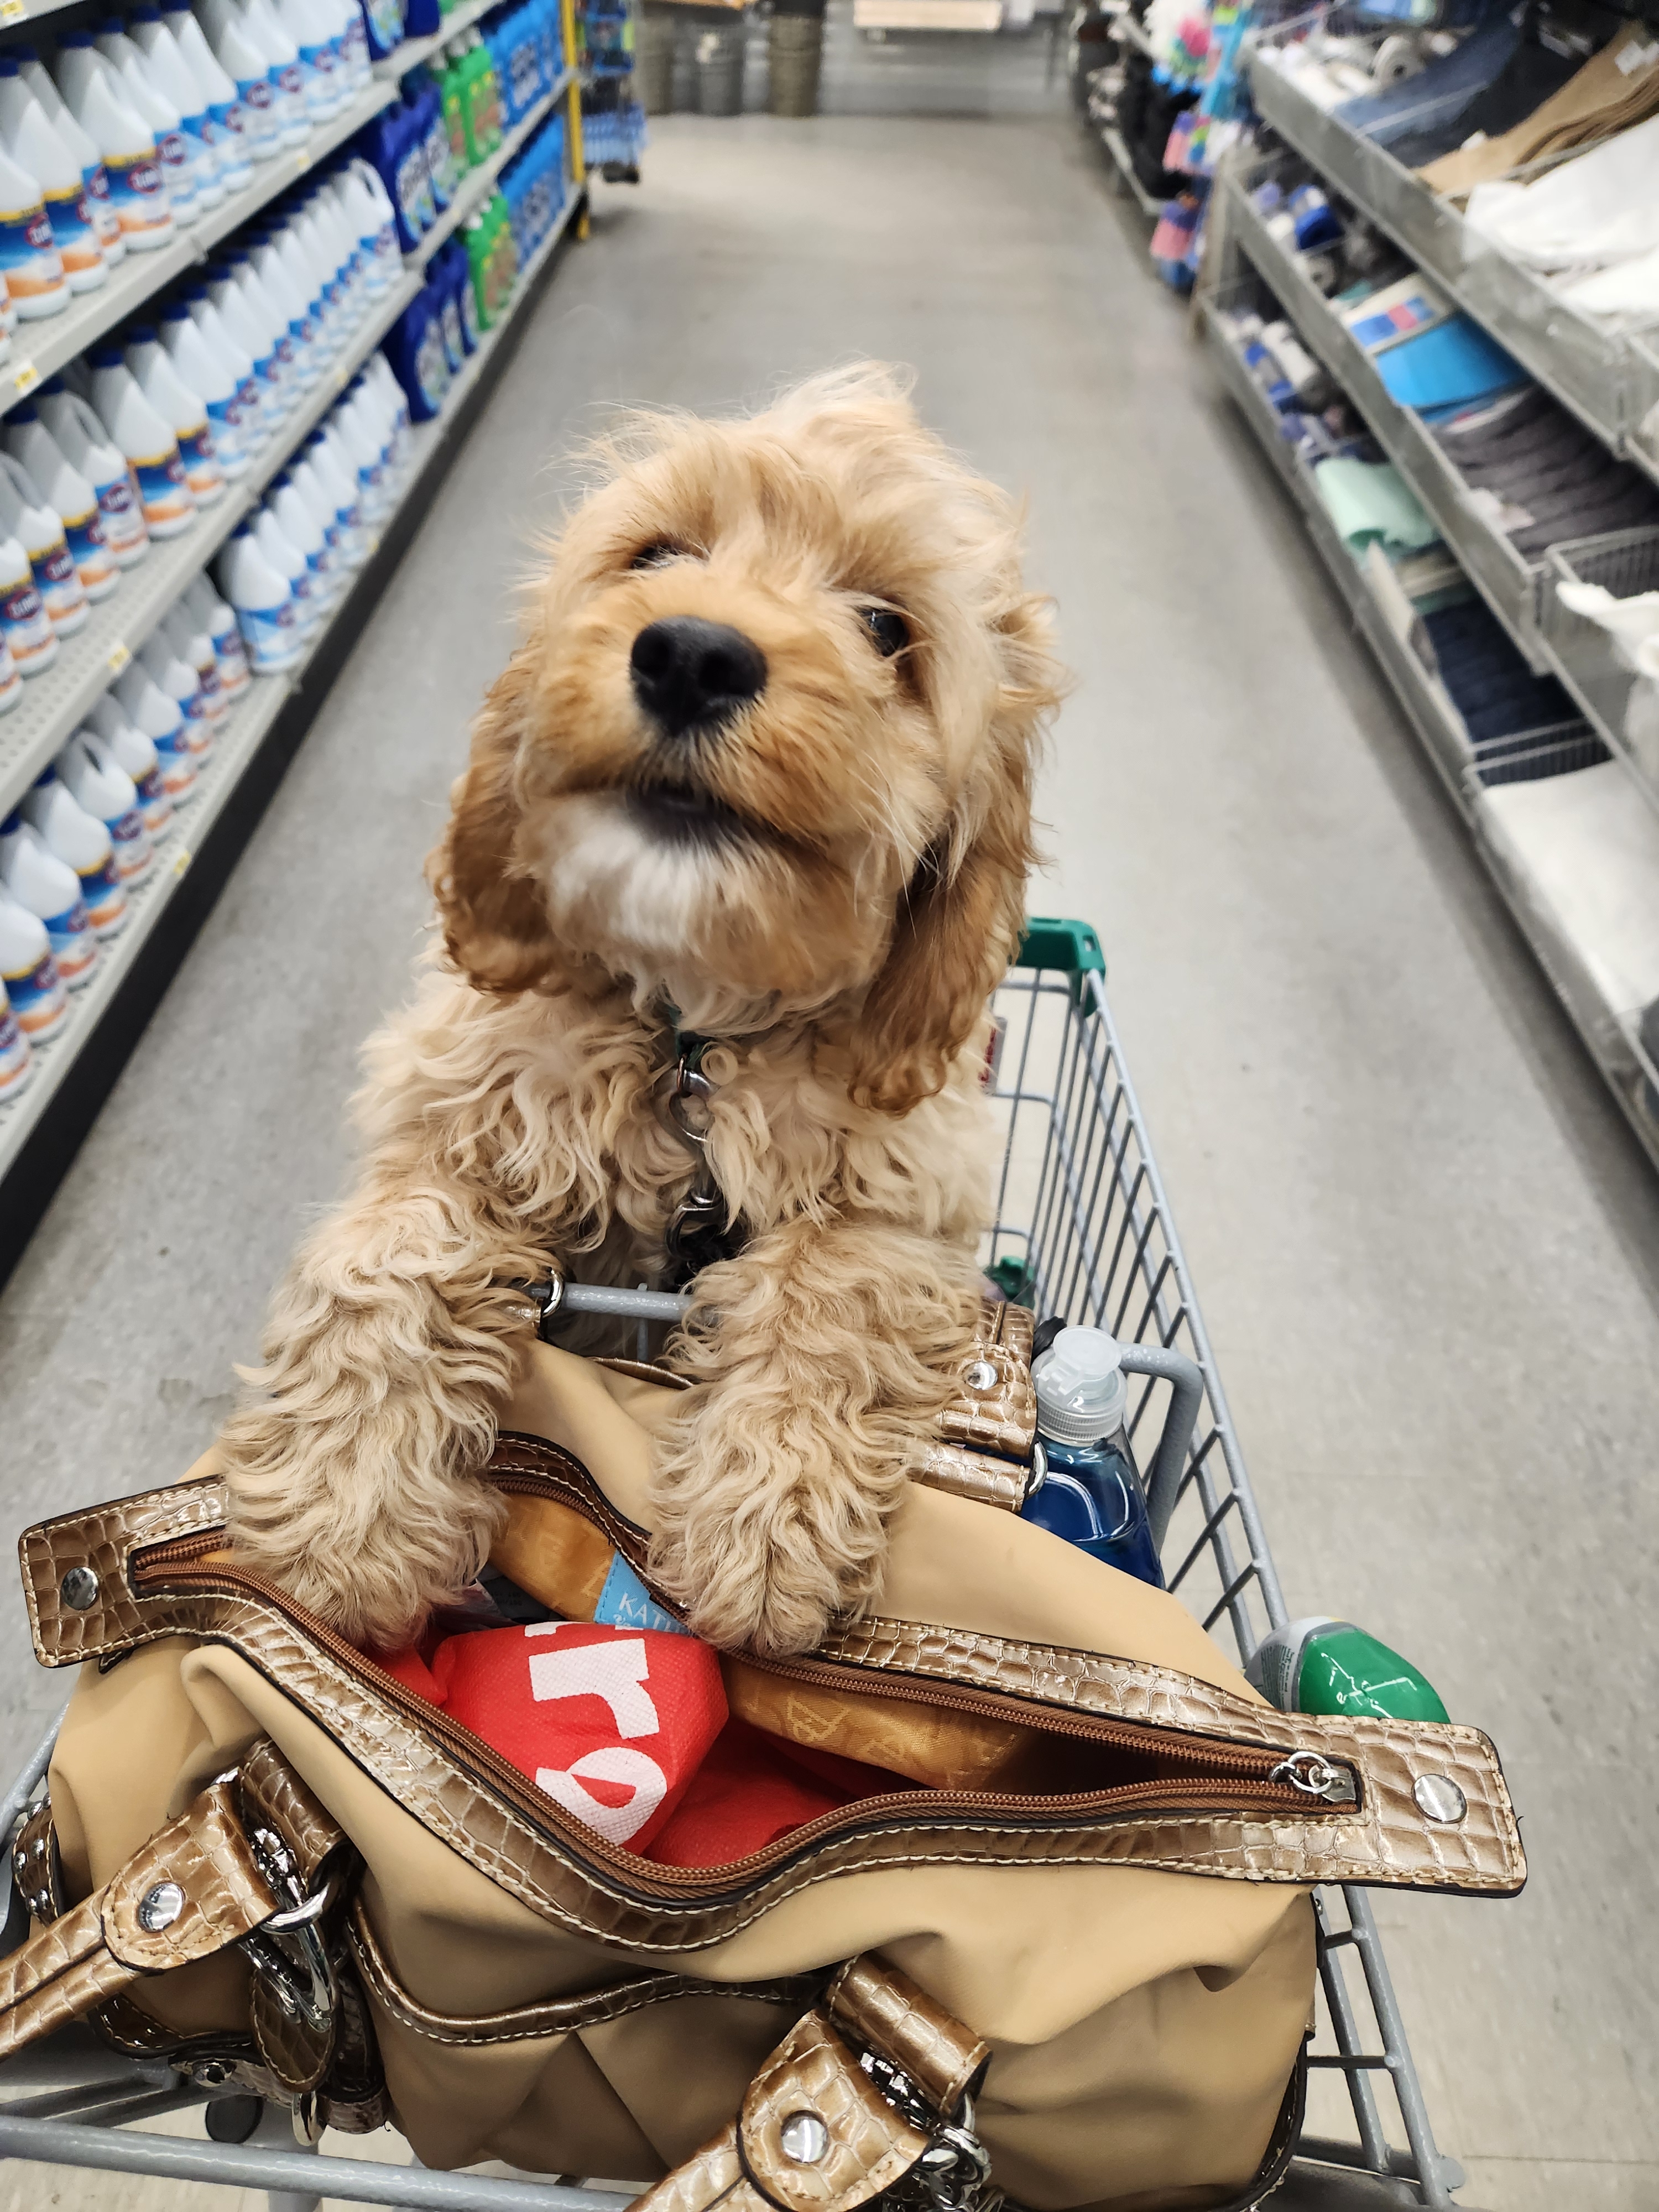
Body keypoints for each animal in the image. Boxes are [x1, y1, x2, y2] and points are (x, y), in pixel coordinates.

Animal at [221, 363, 1066, 1655]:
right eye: (657, 556)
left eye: (887, 628)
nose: (694, 654)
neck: (691, 1037)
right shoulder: (447, 1108)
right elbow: (389, 1256)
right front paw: (341, 1512)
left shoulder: (914, 1201)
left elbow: (832, 1287)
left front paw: (763, 1529)